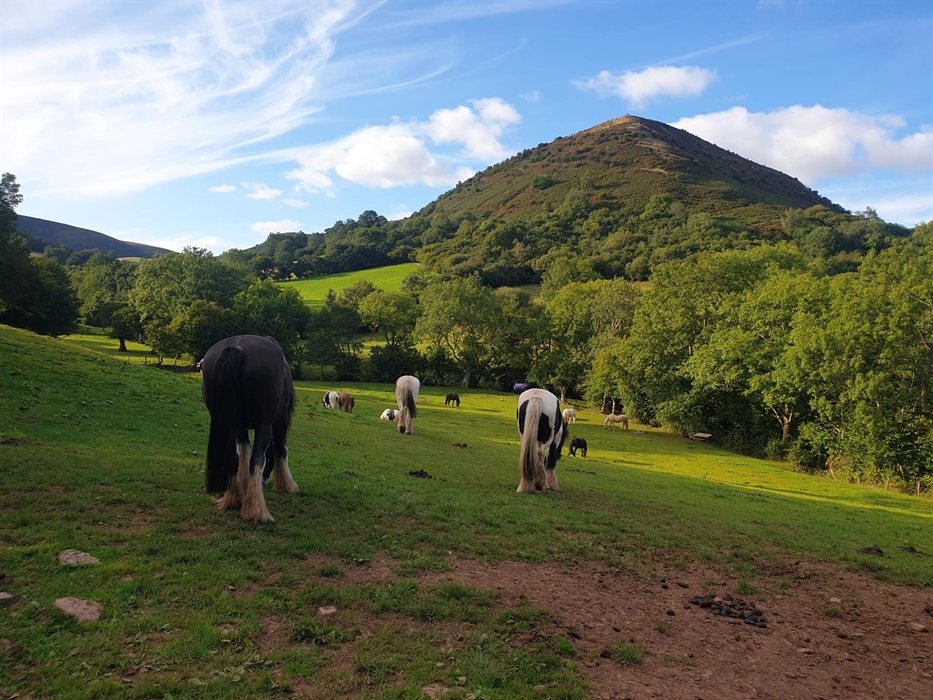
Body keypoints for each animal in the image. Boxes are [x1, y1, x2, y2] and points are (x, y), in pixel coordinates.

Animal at [200, 335, 298, 524]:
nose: (265, 480)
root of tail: (235, 348)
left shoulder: (239, 427)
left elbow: (243, 450)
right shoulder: (280, 419)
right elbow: (281, 449)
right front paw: (287, 485)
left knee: (233, 458)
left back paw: (233, 499)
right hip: (265, 425)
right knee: (258, 458)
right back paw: (257, 511)